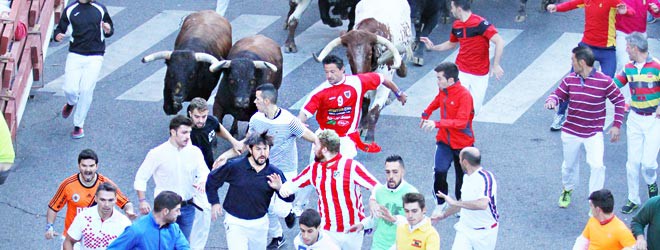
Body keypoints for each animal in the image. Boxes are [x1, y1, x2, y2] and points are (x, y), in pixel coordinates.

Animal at [312, 0, 410, 143]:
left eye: (369, 54)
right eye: (348, 55)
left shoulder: (384, 81)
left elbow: (375, 110)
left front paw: (369, 137)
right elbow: (364, 102)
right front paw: (362, 126)